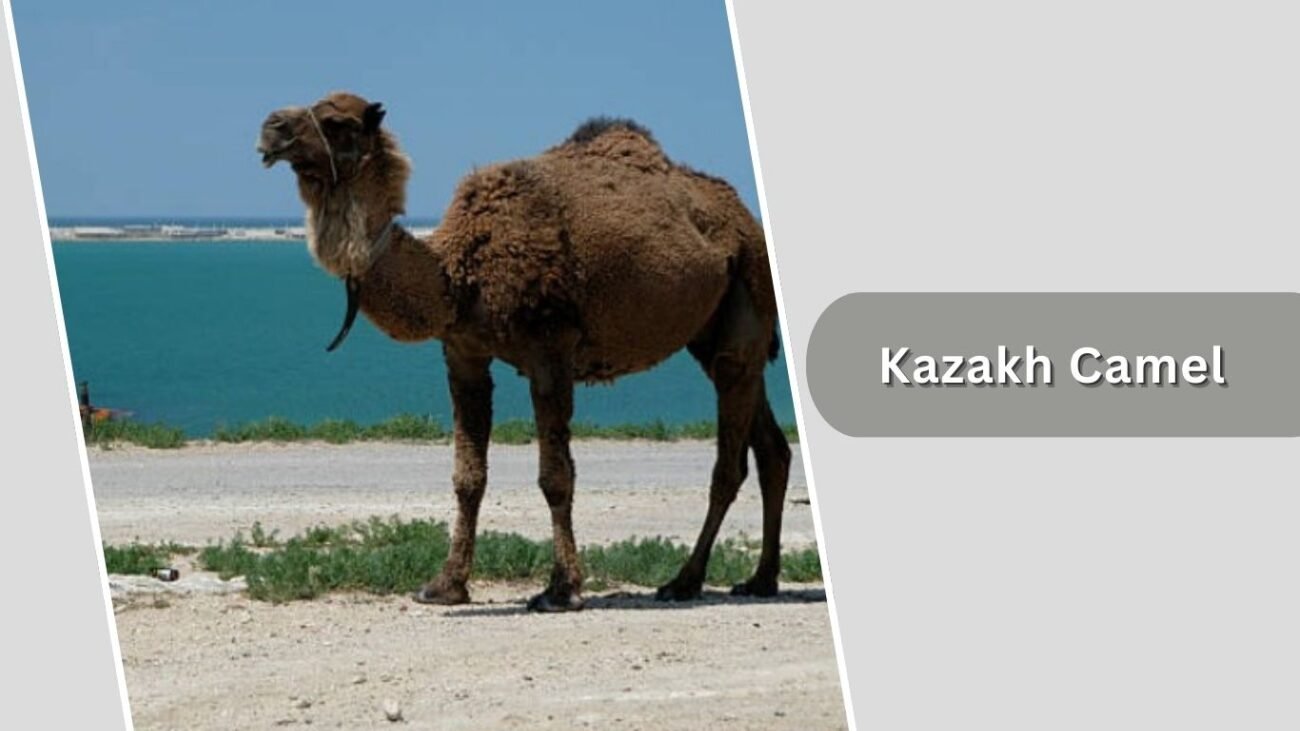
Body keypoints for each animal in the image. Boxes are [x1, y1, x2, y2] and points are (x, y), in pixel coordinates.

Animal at [257, 92, 791, 612]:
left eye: (337, 122)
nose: (271, 128)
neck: (456, 275)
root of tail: (748, 223)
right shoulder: (463, 354)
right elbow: (467, 476)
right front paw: (444, 585)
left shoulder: (549, 350)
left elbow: (555, 476)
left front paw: (561, 589)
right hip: (715, 329)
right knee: (771, 446)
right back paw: (760, 579)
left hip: (747, 290)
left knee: (730, 459)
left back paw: (684, 581)